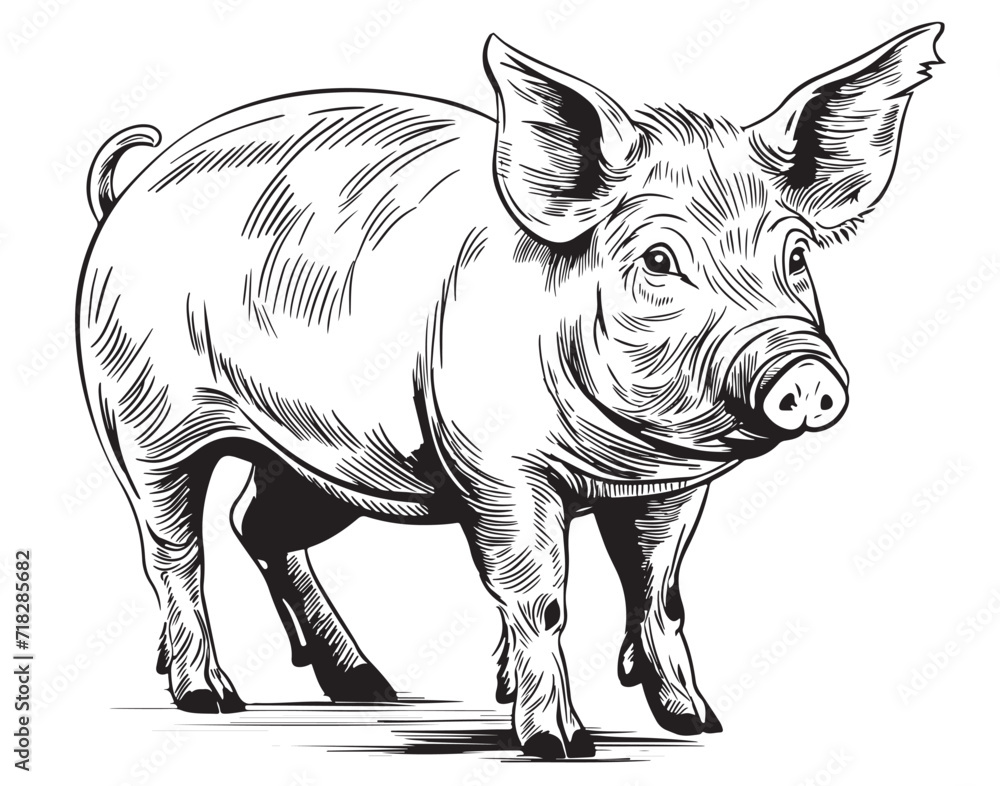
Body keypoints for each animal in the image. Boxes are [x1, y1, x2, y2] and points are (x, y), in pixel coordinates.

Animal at [76, 24, 942, 758]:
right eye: (659, 260)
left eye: (795, 256)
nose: (805, 372)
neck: (618, 458)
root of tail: (132, 184)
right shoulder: (498, 468)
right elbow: (540, 596)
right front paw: (560, 745)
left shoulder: (672, 488)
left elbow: (660, 592)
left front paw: (697, 722)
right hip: (143, 420)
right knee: (175, 550)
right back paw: (210, 696)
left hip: (317, 461)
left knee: (255, 524)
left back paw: (365, 684)